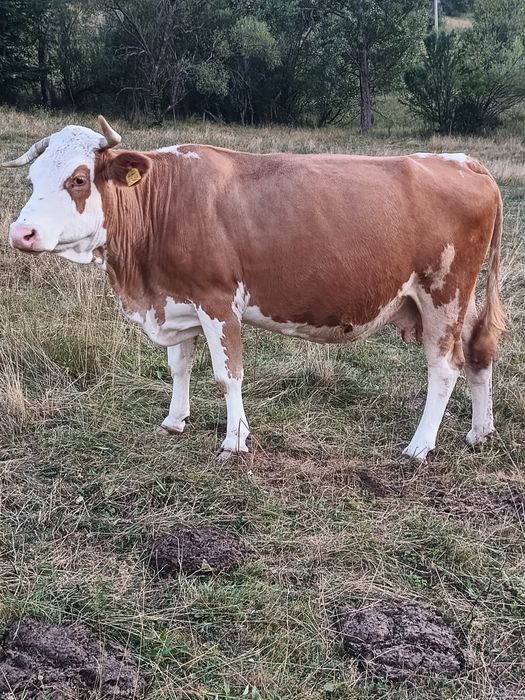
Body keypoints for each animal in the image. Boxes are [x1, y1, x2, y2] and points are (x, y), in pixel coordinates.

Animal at [2, 116, 506, 462]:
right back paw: (480, 431)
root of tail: (463, 161)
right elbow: (178, 366)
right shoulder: (176, 298)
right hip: (456, 302)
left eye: (78, 179)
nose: (20, 233)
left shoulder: (216, 300)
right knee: (478, 353)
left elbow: (228, 375)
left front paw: (235, 439)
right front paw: (173, 421)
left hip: (443, 294)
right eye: (32, 179)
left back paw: (419, 446)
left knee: (445, 368)